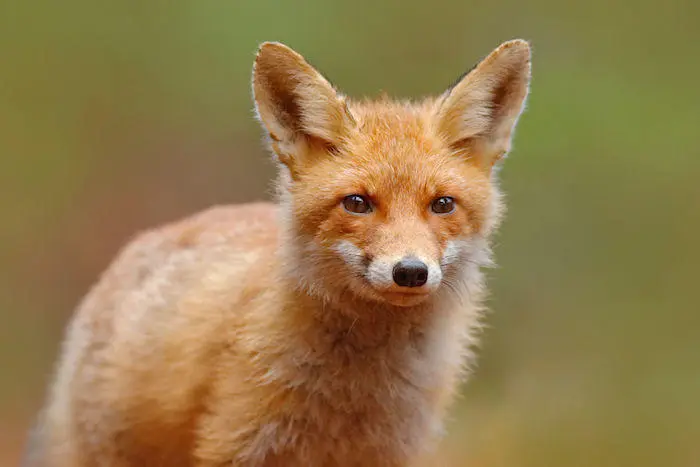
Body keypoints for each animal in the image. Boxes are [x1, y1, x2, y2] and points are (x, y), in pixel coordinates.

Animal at [27, 39, 531, 467]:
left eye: (443, 204)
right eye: (357, 203)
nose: (410, 271)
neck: (357, 392)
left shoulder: (392, 451)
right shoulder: (239, 443)